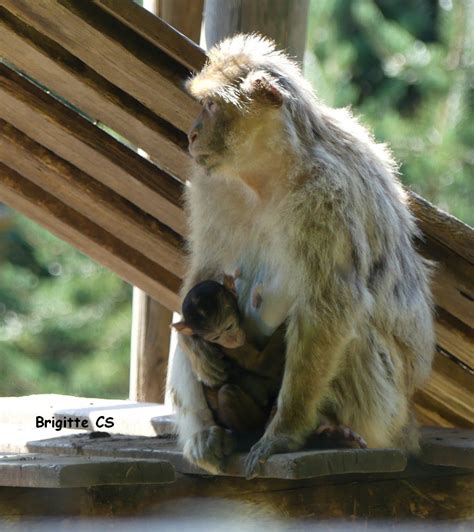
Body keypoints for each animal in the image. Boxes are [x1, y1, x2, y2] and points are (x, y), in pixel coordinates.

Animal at [174, 276, 286, 434]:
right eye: (215, 337)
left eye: (229, 326)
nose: (231, 340)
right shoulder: (231, 348)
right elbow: (261, 364)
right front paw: (286, 325)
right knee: (227, 393)